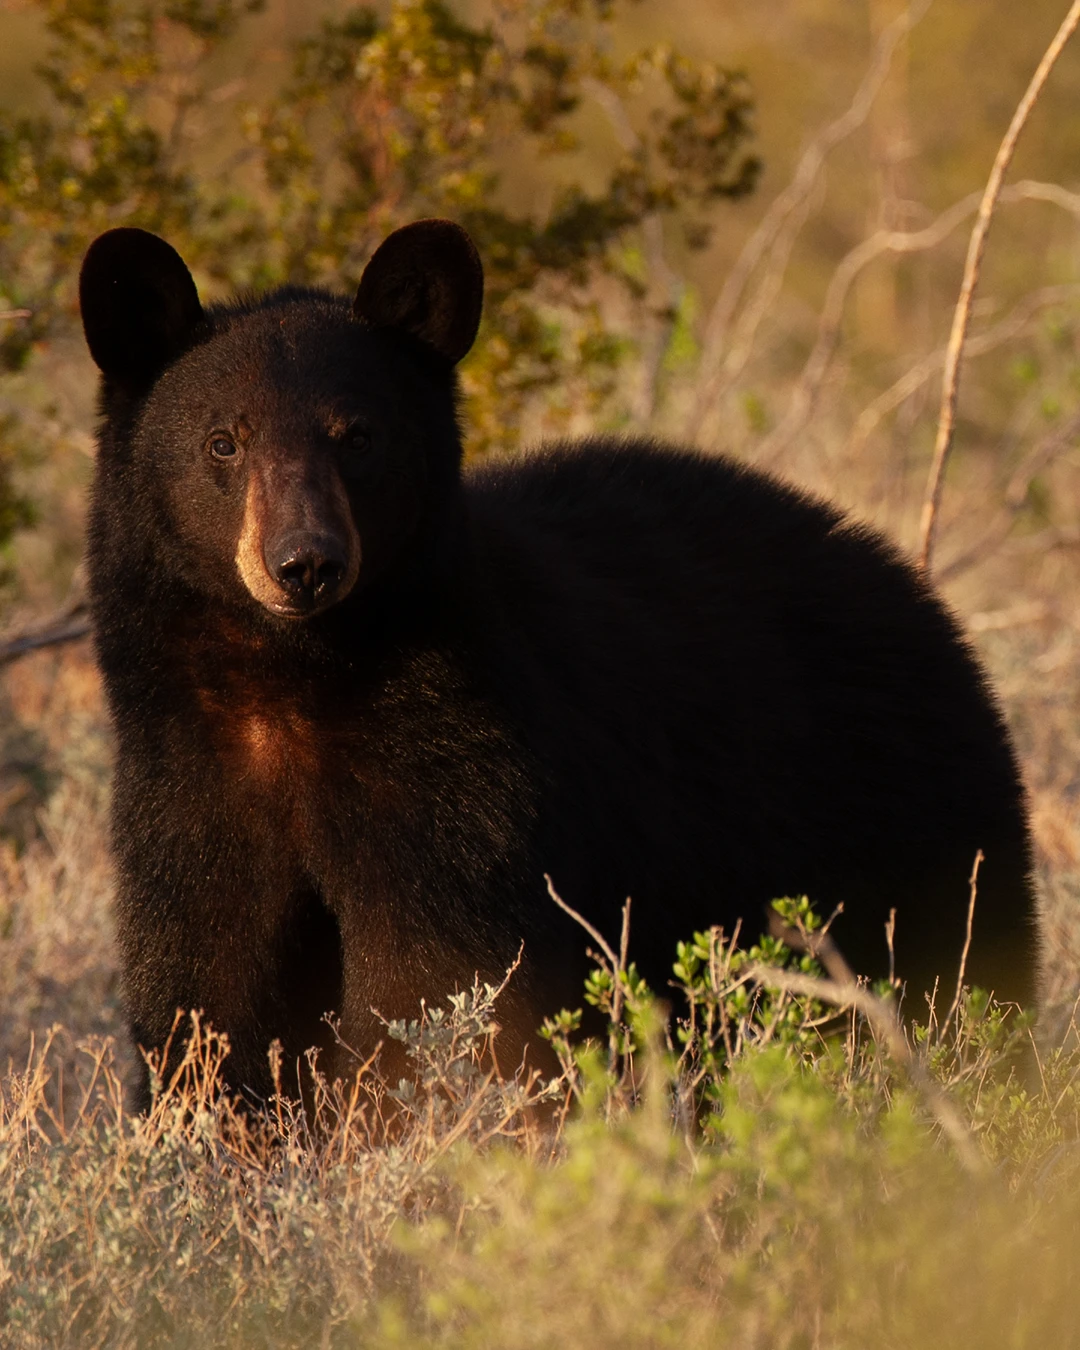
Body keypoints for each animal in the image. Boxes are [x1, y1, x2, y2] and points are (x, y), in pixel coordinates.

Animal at [80, 221, 1031, 1107]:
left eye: (357, 436)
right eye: (223, 442)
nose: (305, 562)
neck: (298, 683)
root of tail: (921, 599)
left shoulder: (459, 763)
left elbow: (437, 981)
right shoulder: (189, 779)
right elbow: (206, 984)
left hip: (910, 829)